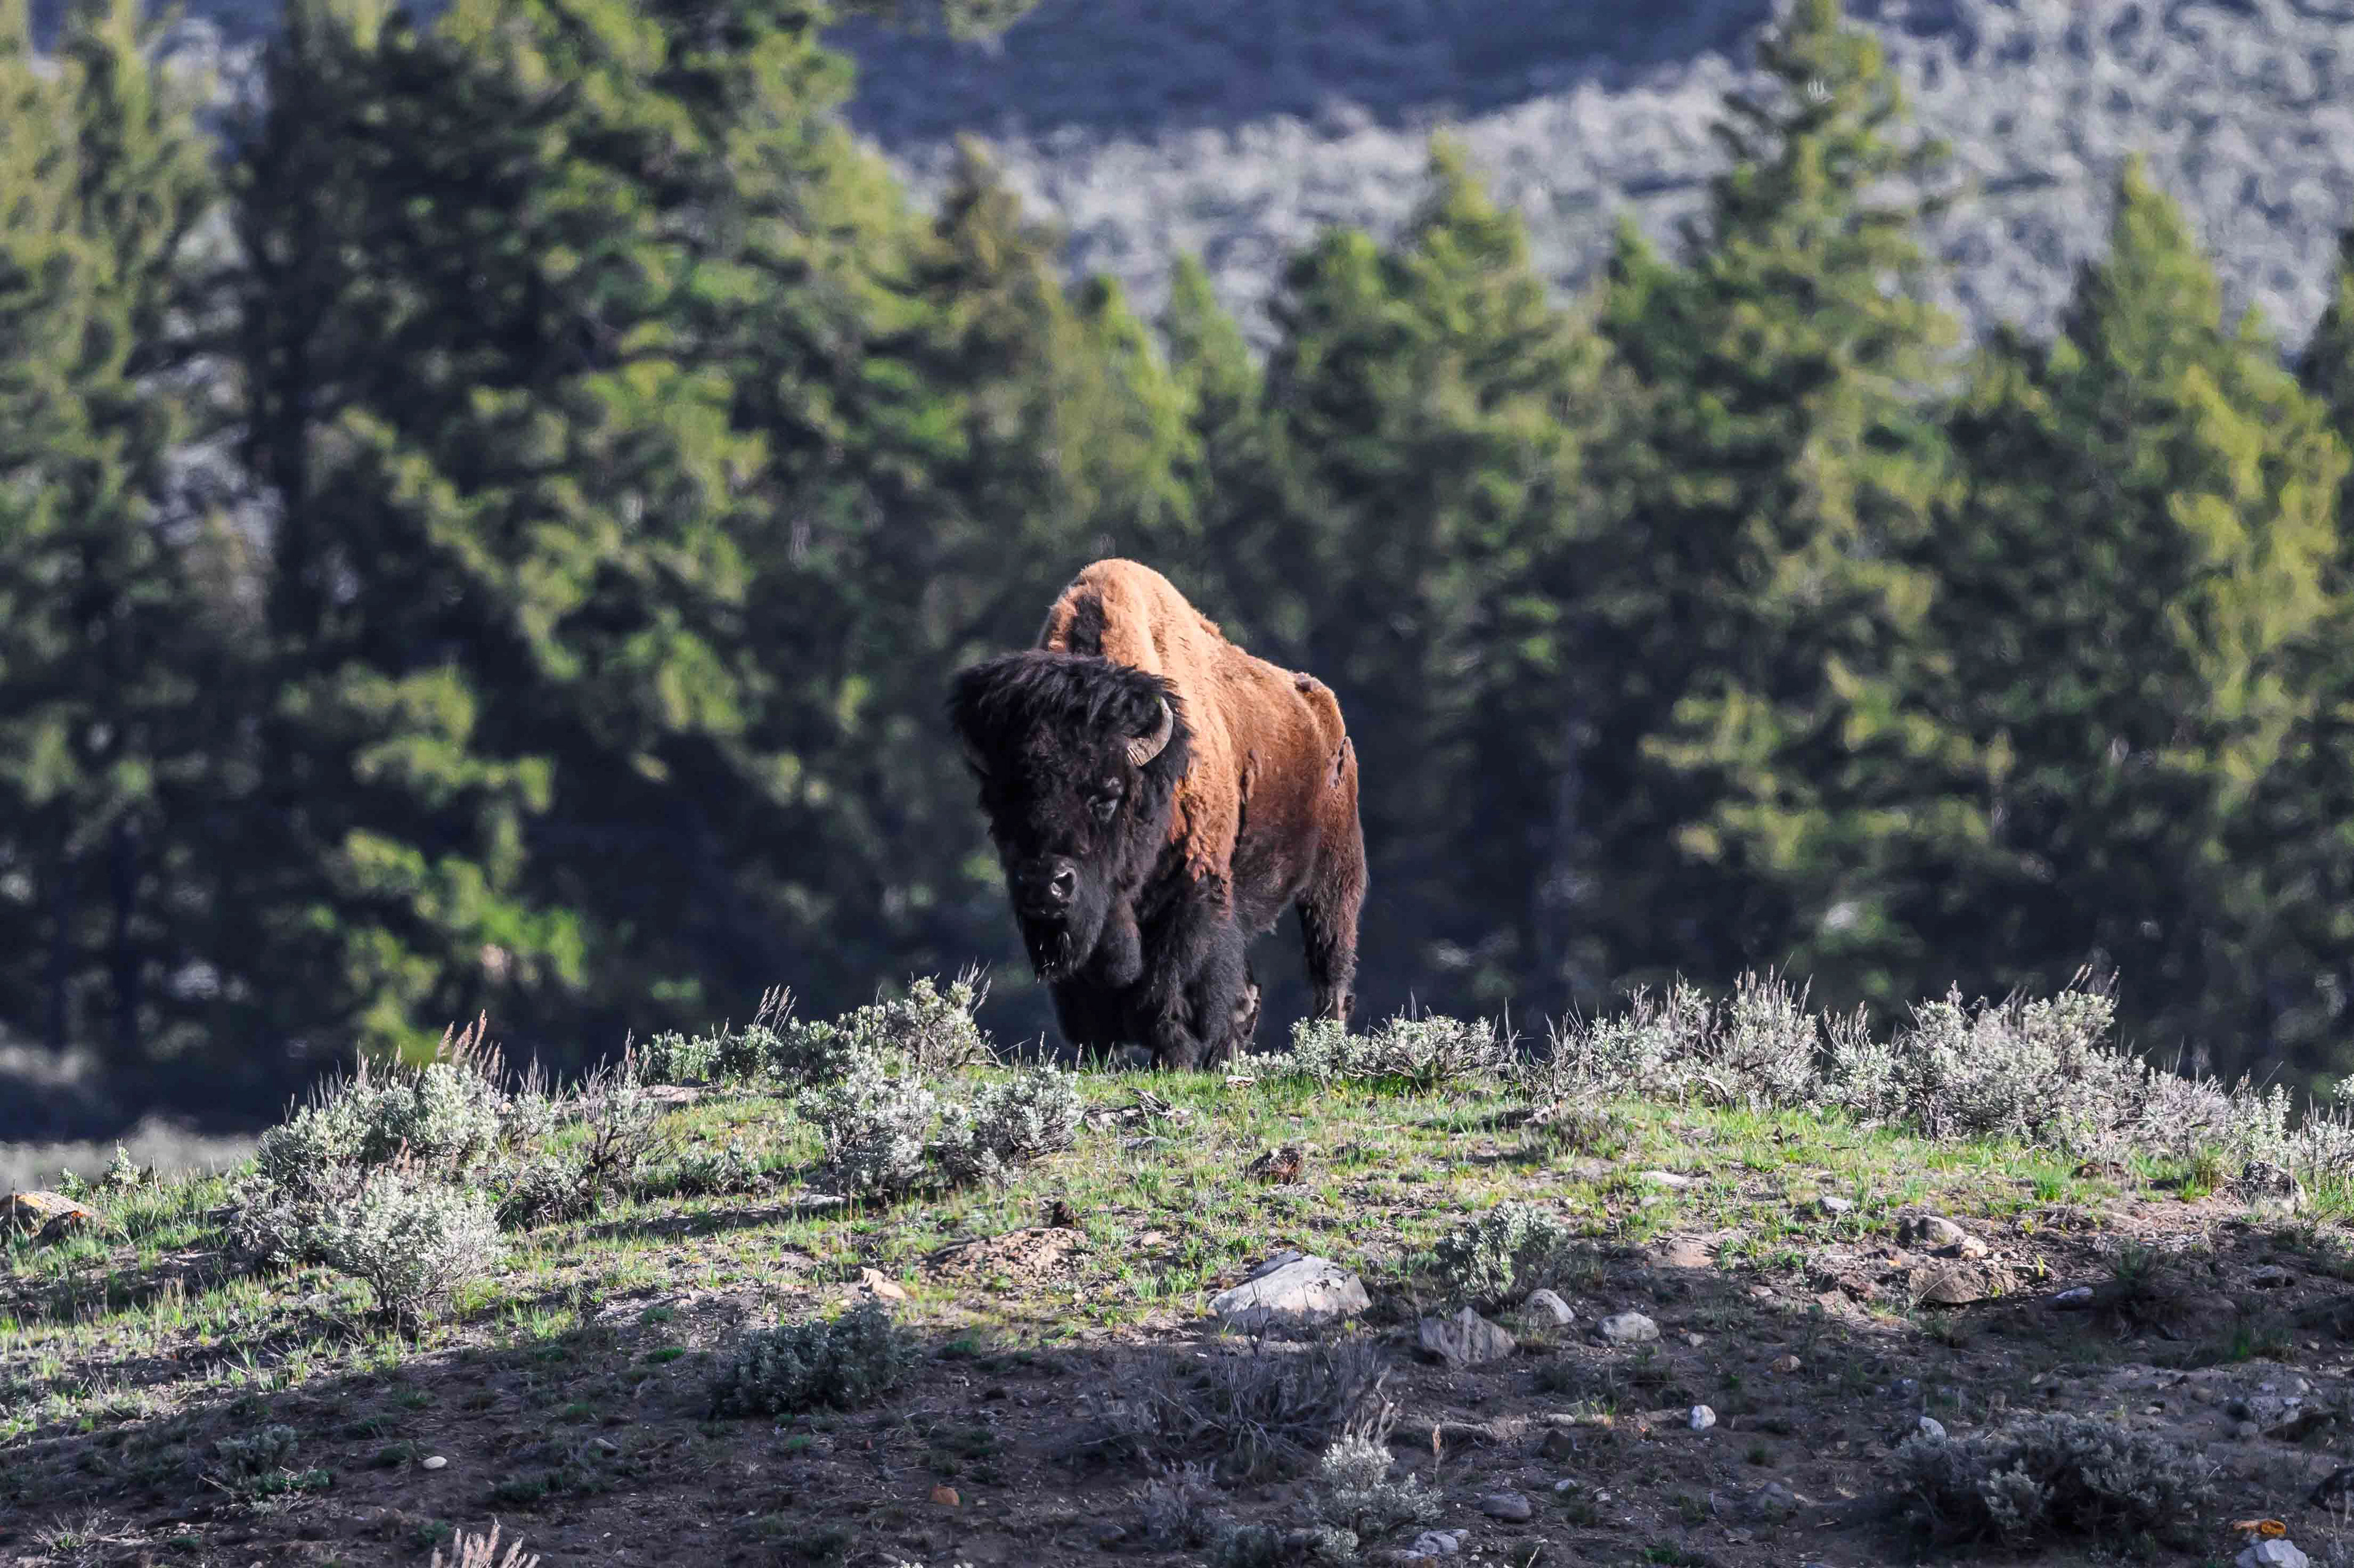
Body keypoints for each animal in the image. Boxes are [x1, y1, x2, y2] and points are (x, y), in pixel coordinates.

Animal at [948, 559, 1367, 1068]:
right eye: (1004, 802)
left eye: (1107, 796)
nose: (1048, 883)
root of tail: (1325, 710)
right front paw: (1101, 1056)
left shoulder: (1190, 891)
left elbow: (1169, 983)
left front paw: (1174, 1056)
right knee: (1249, 991)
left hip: (1335, 877)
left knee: (1331, 967)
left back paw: (1326, 1048)